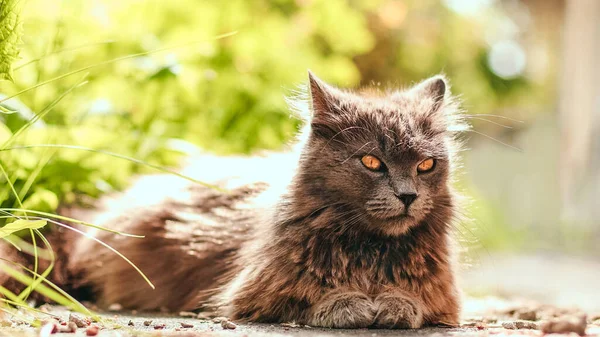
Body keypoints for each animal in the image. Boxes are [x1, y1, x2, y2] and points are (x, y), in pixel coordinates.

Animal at [0, 71, 466, 328]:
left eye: (425, 165)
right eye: (372, 162)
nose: (407, 195)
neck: (369, 249)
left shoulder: (443, 298)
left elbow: (414, 302)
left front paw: (392, 303)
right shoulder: (251, 292)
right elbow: (311, 298)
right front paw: (351, 304)